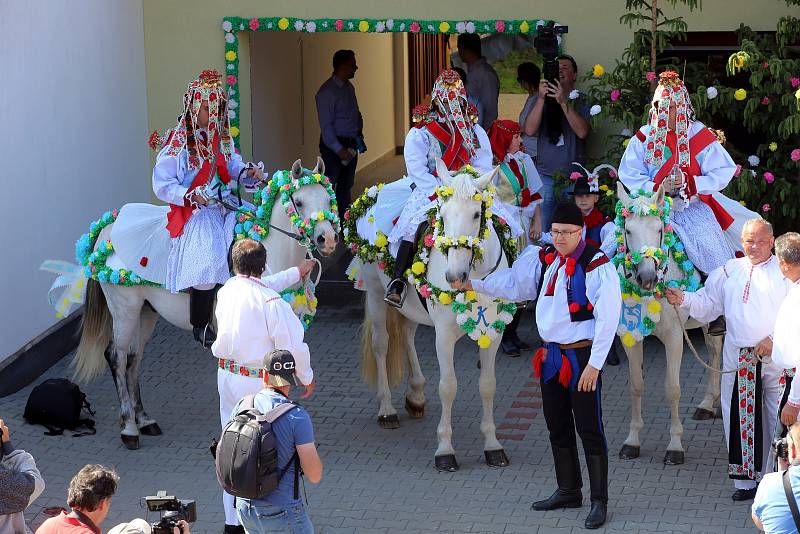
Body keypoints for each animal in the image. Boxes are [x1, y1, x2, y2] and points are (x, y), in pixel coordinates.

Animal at [70, 160, 340, 452]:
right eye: (298, 202)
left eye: (328, 199)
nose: (327, 239)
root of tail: (108, 229)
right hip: (125, 310)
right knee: (117, 357)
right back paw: (129, 427)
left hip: (146, 312)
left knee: (134, 360)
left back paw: (144, 419)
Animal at [356, 162, 512, 474]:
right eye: (443, 214)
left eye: (476, 214)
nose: (454, 276)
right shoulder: (444, 335)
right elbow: (448, 387)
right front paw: (445, 450)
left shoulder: (494, 332)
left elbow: (488, 385)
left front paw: (492, 446)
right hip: (375, 293)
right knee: (381, 344)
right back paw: (387, 410)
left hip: (411, 307)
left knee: (406, 335)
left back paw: (415, 395)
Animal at [616, 182, 720, 466]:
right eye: (628, 230)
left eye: (659, 229)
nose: (647, 277)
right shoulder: (630, 337)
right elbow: (636, 384)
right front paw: (632, 441)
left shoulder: (674, 338)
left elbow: (672, 389)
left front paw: (675, 446)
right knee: (713, 353)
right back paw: (709, 404)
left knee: (719, 354)